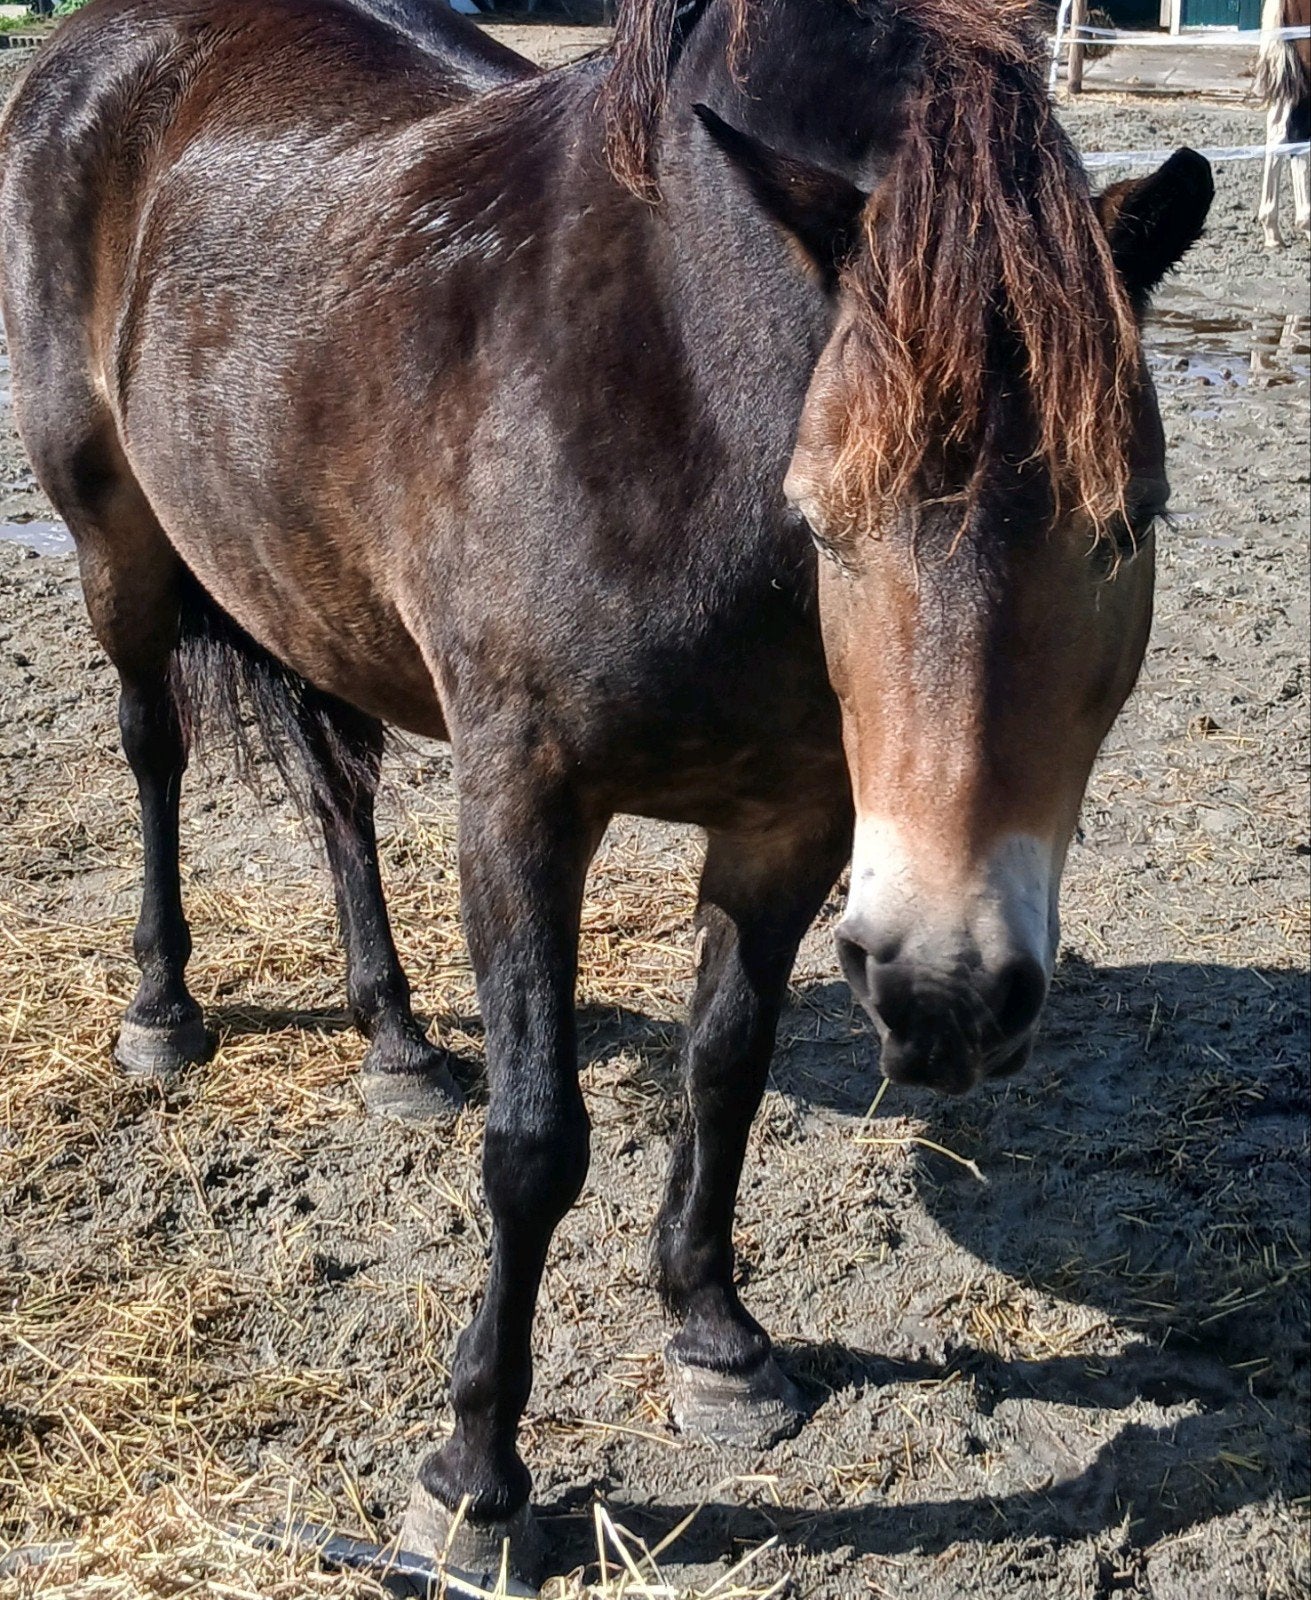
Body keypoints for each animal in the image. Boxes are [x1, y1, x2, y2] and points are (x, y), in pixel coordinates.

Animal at [0, 0, 1212, 1581]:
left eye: (1126, 524)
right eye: (822, 515)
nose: (946, 992)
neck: (680, 394)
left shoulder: (795, 824)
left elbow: (725, 1071)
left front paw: (716, 1340)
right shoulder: (523, 803)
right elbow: (535, 1144)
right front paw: (472, 1482)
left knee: (338, 794)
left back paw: (396, 1043)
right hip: (117, 546)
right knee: (153, 745)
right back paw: (164, 1011)